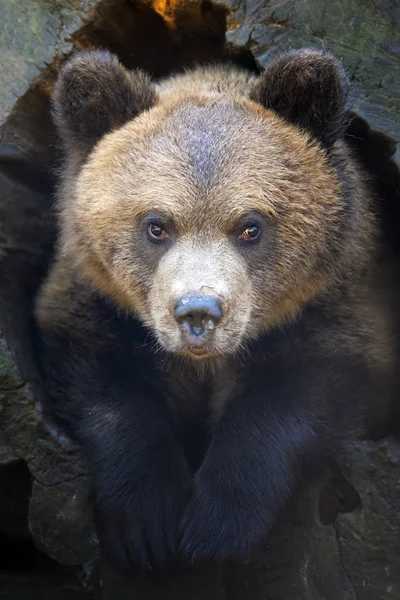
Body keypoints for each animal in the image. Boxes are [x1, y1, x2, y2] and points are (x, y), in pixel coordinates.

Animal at [33, 48, 396, 572]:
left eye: (250, 226)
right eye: (156, 225)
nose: (198, 313)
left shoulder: (333, 305)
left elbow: (305, 391)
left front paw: (213, 526)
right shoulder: (95, 302)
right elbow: (102, 381)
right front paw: (148, 524)